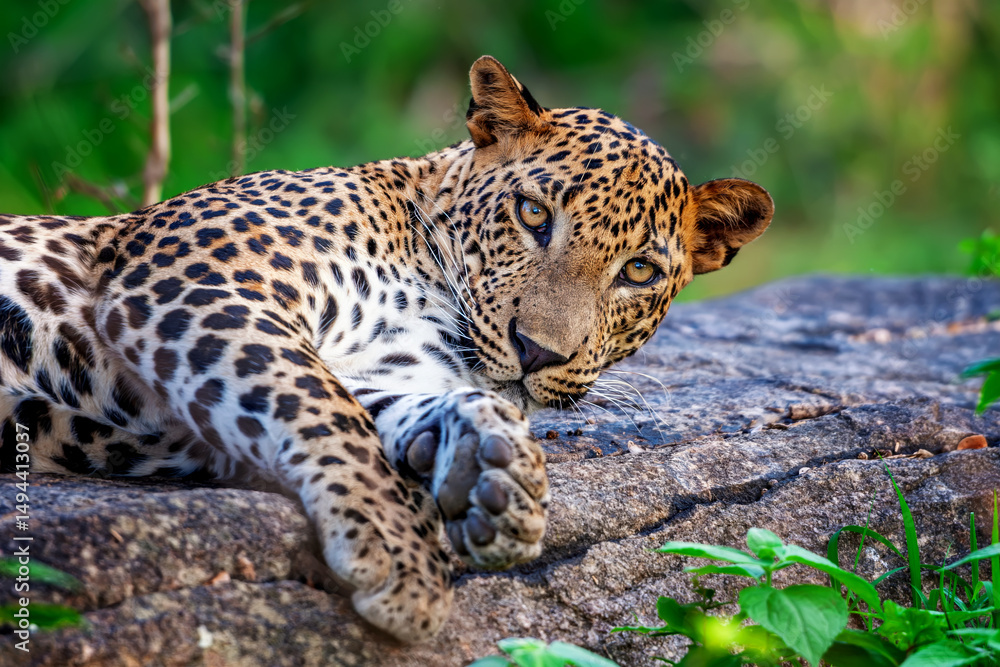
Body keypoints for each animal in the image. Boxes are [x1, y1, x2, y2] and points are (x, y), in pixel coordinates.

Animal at [0, 56, 773, 642]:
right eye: (533, 214)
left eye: (638, 271)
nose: (536, 351)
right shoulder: (195, 281)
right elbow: (317, 403)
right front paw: (399, 555)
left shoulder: (372, 365)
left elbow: (375, 404)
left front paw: (495, 472)